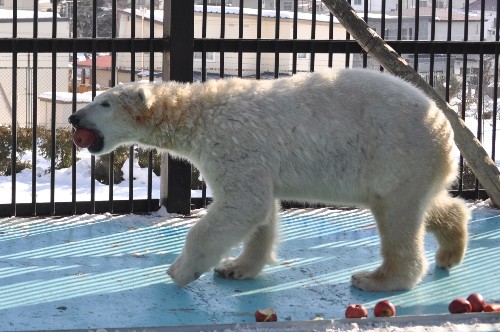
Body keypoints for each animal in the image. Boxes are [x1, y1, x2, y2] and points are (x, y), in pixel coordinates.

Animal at [68, 69, 470, 290]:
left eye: (104, 102)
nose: (73, 117)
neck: (199, 114)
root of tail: (446, 130)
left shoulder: (234, 142)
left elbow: (241, 203)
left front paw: (180, 270)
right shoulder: (258, 159)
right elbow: (261, 213)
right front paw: (235, 268)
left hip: (396, 152)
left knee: (397, 216)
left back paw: (377, 279)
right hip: (413, 165)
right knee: (425, 204)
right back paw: (451, 248)